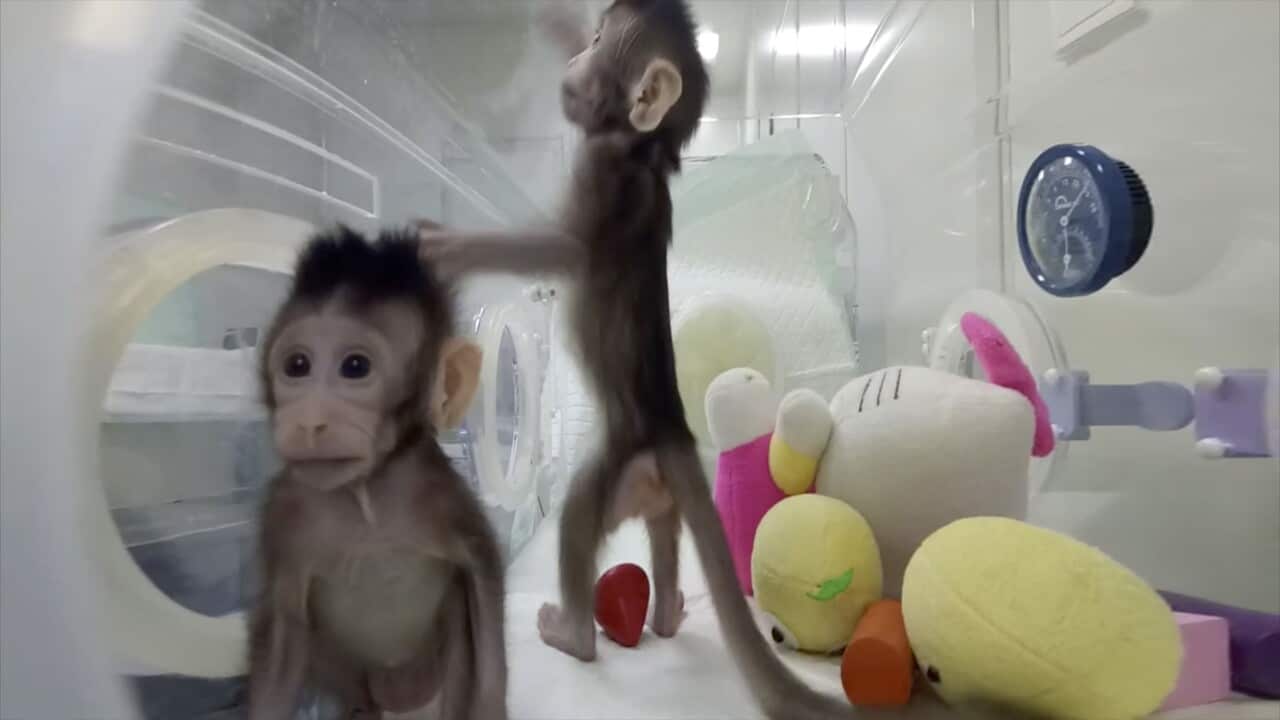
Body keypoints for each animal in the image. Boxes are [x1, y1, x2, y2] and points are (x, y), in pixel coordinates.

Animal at [247, 225, 507, 720]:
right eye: (297, 366)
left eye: (355, 367)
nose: (309, 421)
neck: (366, 494)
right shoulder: (282, 515)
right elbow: (284, 638)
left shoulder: (444, 495)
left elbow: (483, 583)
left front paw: (491, 706)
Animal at [417, 1, 856, 717]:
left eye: (602, 42)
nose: (576, 56)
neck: (643, 153)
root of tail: (672, 431)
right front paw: (551, 22)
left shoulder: (602, 179)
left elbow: (558, 250)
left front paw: (447, 246)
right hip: (658, 494)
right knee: (666, 539)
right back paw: (669, 611)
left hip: (614, 474)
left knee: (576, 520)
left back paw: (572, 633)